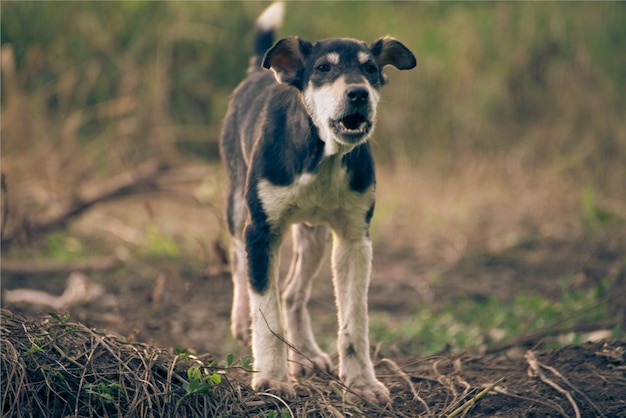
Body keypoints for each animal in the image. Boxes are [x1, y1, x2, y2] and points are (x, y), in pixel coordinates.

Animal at [219, 1, 414, 404]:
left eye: (371, 69)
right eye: (324, 68)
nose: (358, 94)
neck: (321, 154)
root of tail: (257, 70)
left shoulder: (354, 240)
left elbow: (354, 320)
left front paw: (362, 382)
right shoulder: (261, 233)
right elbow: (267, 310)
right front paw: (272, 377)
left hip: (314, 236)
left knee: (294, 293)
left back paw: (306, 353)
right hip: (236, 206)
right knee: (238, 262)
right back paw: (242, 320)